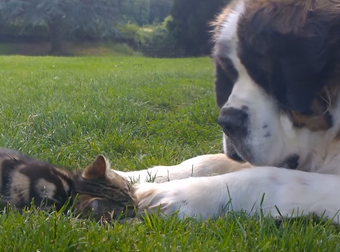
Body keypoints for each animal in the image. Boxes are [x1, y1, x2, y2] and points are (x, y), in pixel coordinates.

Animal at [115, 0, 340, 221]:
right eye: (232, 74)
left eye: (266, 77)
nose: (227, 122)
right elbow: (207, 160)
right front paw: (130, 177)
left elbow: (272, 177)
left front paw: (180, 192)